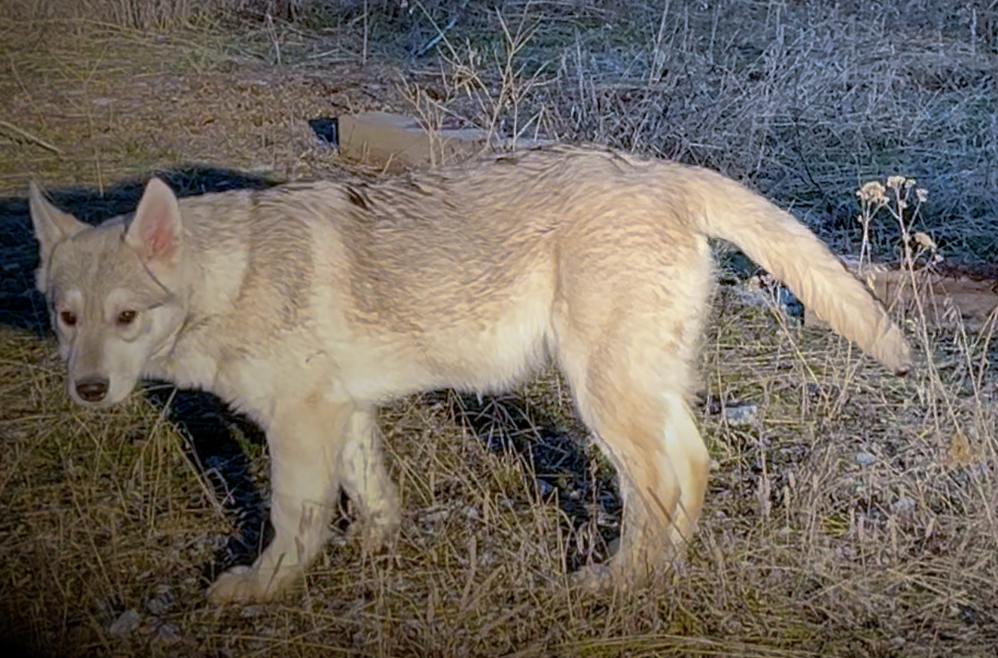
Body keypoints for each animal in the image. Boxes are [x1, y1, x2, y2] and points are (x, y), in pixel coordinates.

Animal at [29, 146, 916, 604]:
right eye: (67, 318)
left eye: (126, 318)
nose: (87, 391)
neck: (231, 274)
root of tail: (660, 170)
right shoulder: (343, 411)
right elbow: (371, 494)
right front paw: (375, 549)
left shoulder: (298, 422)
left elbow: (292, 518)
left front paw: (263, 587)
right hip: (634, 389)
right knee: (690, 469)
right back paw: (660, 572)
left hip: (603, 395)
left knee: (662, 482)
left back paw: (619, 582)